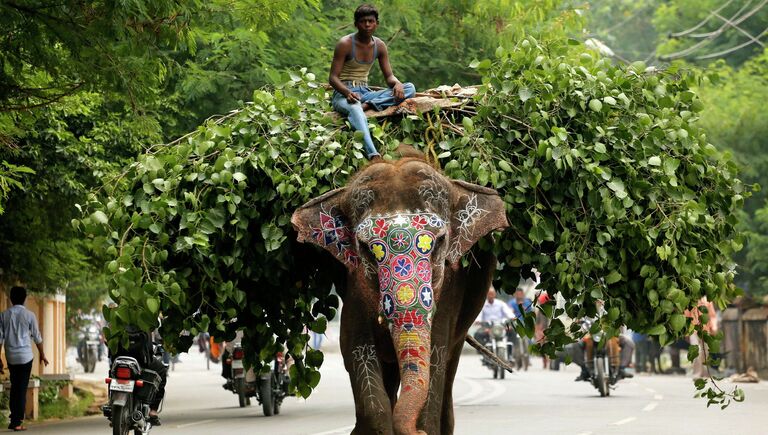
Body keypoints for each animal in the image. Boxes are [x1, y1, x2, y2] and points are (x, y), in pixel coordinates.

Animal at [294, 147, 510, 435]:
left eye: (439, 241)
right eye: (366, 247)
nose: (417, 432)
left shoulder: (451, 285)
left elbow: (436, 356)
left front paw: (424, 427)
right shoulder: (354, 286)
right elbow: (356, 350)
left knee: (449, 365)